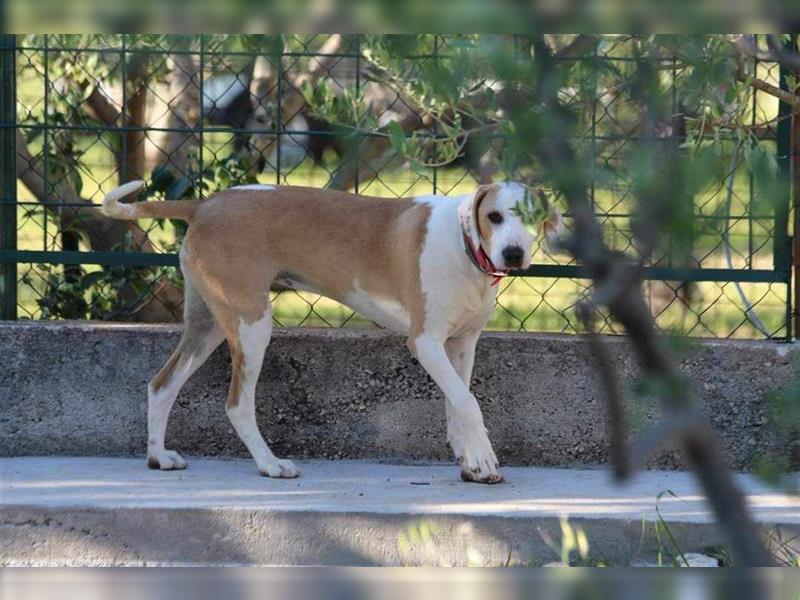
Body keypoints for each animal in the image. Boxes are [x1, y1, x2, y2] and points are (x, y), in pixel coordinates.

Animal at [101, 180, 564, 486]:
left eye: (534, 219)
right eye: (495, 217)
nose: (514, 254)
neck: (465, 244)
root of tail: (205, 204)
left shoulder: (462, 345)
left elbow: (458, 404)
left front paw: (470, 461)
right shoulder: (426, 342)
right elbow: (469, 403)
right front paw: (484, 459)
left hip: (209, 324)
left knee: (161, 385)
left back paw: (158, 457)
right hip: (251, 325)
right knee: (236, 404)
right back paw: (270, 464)